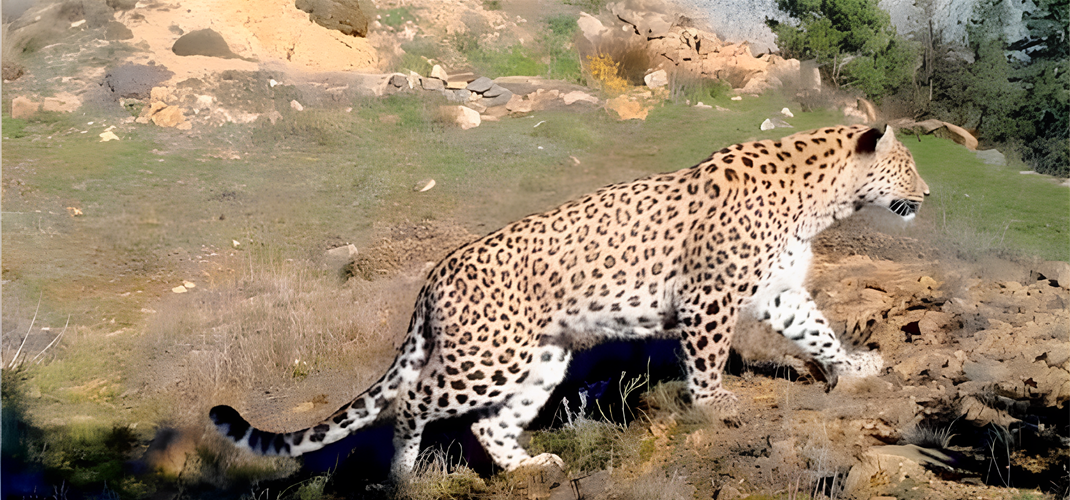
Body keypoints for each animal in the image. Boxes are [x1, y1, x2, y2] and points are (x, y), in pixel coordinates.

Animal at [208, 123, 928, 479]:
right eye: (910, 167)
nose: (925, 196)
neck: (822, 201)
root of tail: (435, 273)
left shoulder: (778, 292)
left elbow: (817, 330)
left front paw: (854, 366)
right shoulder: (711, 297)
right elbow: (706, 360)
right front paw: (715, 403)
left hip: (542, 359)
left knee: (490, 426)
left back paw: (530, 468)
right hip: (485, 356)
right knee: (412, 402)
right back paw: (403, 476)